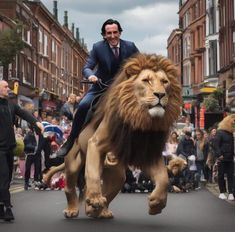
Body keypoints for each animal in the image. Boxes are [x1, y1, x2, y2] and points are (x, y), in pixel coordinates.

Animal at [46, 53, 182, 218]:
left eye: (164, 82)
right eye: (146, 80)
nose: (160, 94)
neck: (139, 121)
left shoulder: (147, 153)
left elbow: (163, 178)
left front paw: (156, 204)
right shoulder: (95, 144)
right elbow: (92, 174)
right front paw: (95, 199)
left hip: (116, 173)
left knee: (110, 190)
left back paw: (96, 211)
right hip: (73, 162)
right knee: (70, 187)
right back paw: (73, 209)